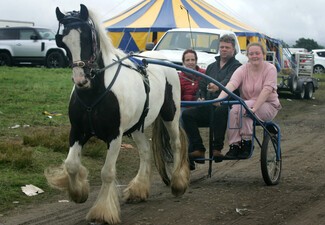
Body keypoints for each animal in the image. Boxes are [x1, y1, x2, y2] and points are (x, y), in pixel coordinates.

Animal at [44, 3, 189, 225]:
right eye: (62, 41)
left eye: (88, 37)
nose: (81, 79)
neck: (94, 93)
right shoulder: (77, 131)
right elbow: (71, 165)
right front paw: (78, 192)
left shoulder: (115, 135)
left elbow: (107, 172)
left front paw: (103, 211)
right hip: (137, 126)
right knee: (145, 151)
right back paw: (139, 189)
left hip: (170, 115)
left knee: (176, 144)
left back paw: (177, 183)